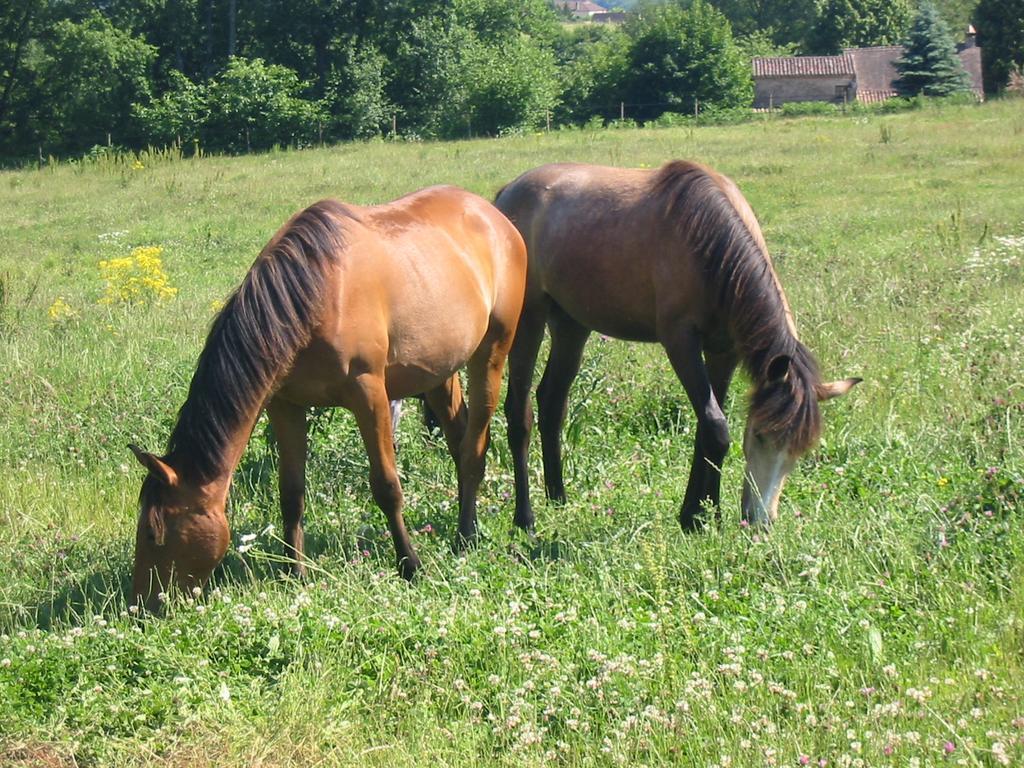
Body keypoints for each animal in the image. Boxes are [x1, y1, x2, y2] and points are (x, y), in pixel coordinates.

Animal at [130, 188, 528, 614]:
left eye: (153, 533)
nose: (141, 608)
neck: (314, 296)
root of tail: (495, 216)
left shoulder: (369, 394)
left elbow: (387, 487)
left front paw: (410, 565)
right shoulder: (285, 406)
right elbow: (291, 493)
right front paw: (295, 573)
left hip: (491, 354)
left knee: (473, 449)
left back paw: (465, 537)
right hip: (440, 373)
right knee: (459, 441)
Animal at [493, 160, 856, 536]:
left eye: (800, 451)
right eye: (758, 435)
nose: (760, 522)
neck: (709, 247)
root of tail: (509, 192)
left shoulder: (723, 352)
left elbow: (709, 427)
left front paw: (704, 511)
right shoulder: (680, 342)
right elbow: (716, 427)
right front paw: (698, 515)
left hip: (570, 325)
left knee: (552, 403)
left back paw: (558, 497)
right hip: (529, 320)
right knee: (519, 412)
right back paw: (525, 519)